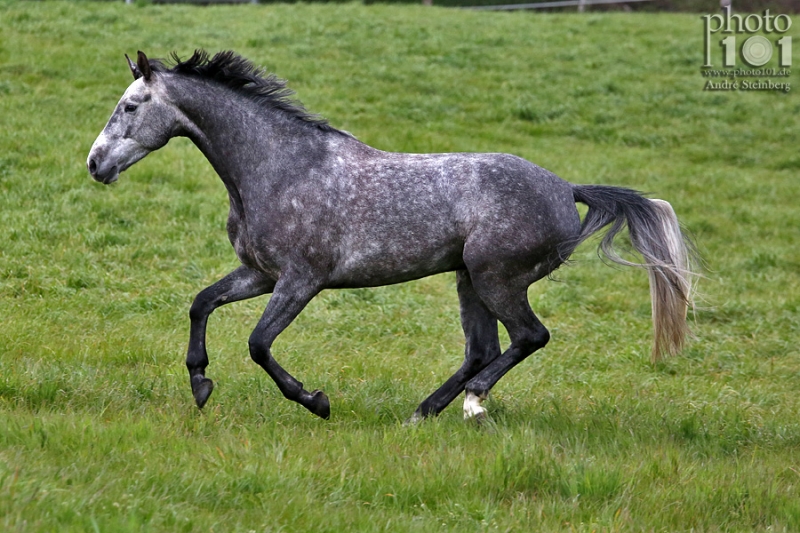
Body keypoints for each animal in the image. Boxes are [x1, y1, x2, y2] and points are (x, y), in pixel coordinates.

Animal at [86, 51, 692, 424]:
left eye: (131, 106)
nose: (94, 164)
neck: (281, 168)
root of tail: (567, 190)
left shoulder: (301, 280)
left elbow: (258, 344)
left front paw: (316, 401)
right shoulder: (259, 274)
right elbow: (201, 303)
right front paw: (200, 384)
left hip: (497, 278)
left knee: (529, 337)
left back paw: (472, 404)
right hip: (468, 279)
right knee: (483, 349)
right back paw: (422, 413)